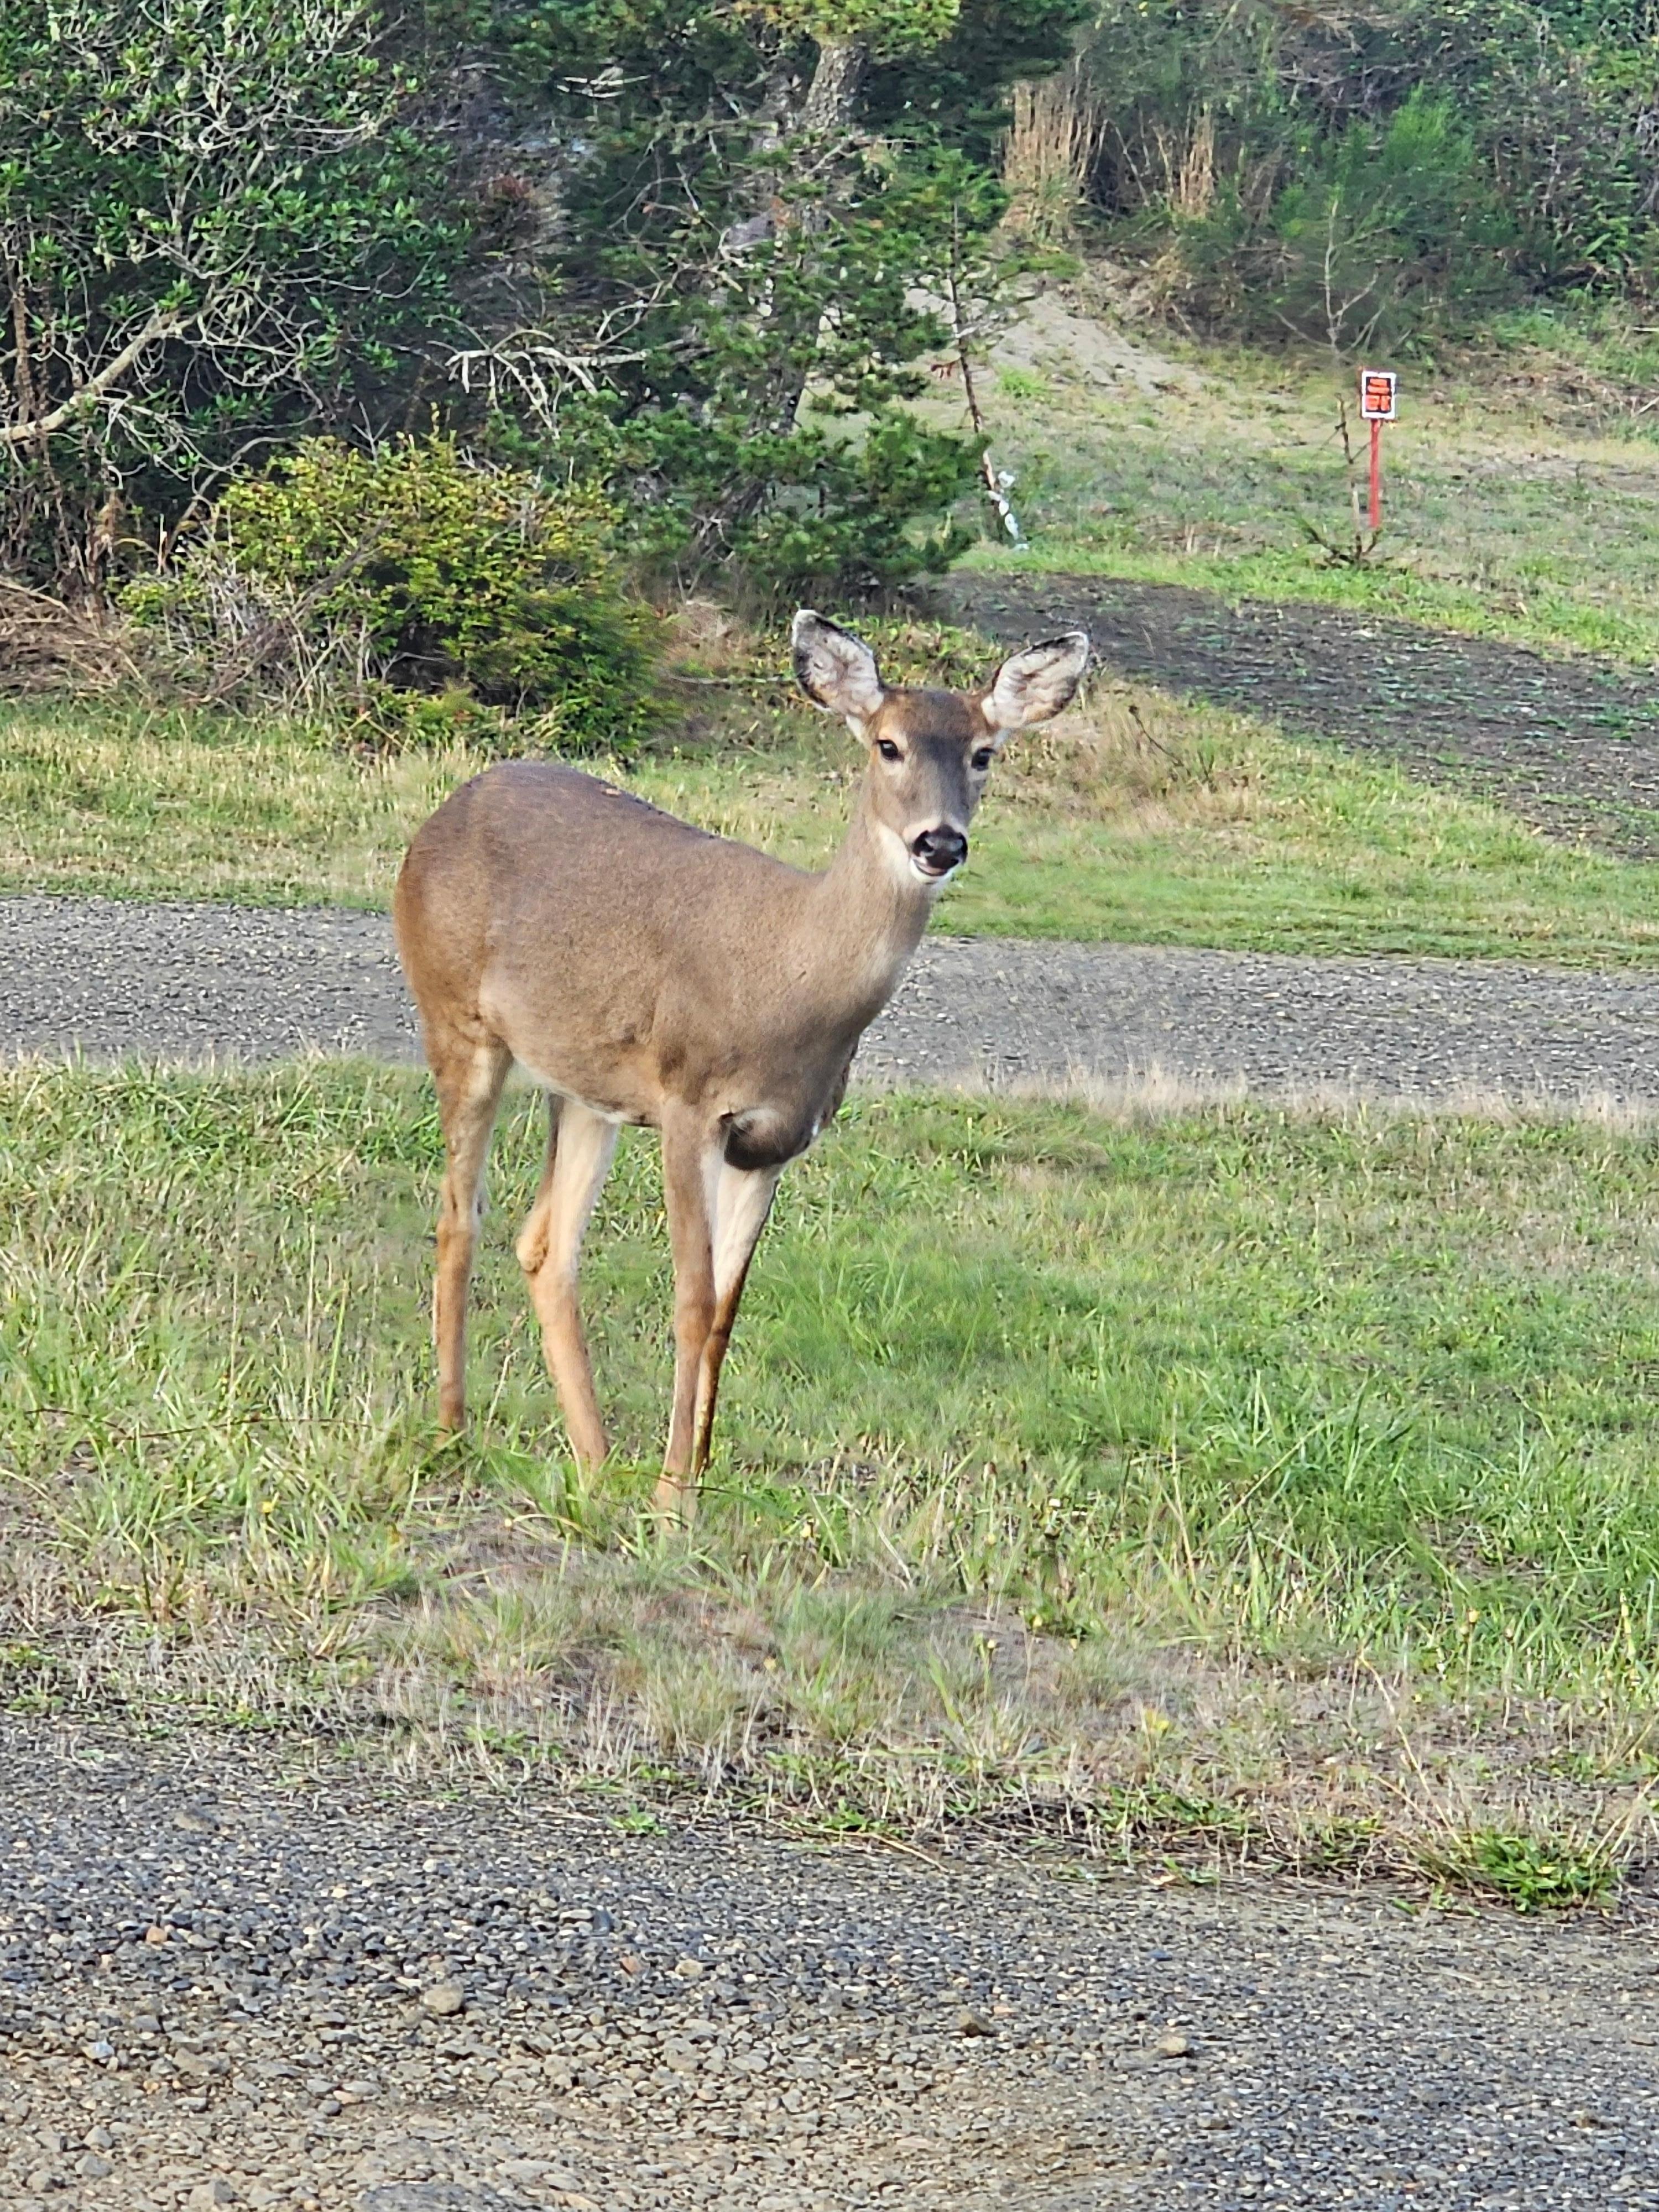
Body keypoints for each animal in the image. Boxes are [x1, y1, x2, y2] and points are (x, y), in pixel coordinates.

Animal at [393, 609, 1090, 1519]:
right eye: (888, 745)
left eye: (984, 752)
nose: (940, 842)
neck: (790, 984)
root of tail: (439, 818)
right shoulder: (689, 1101)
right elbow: (691, 1301)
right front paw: (670, 1499)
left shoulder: (776, 1140)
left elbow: (727, 1308)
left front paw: (694, 1479)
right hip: (458, 1019)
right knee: (457, 1216)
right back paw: (453, 1429)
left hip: (586, 1085)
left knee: (545, 1245)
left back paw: (594, 1462)